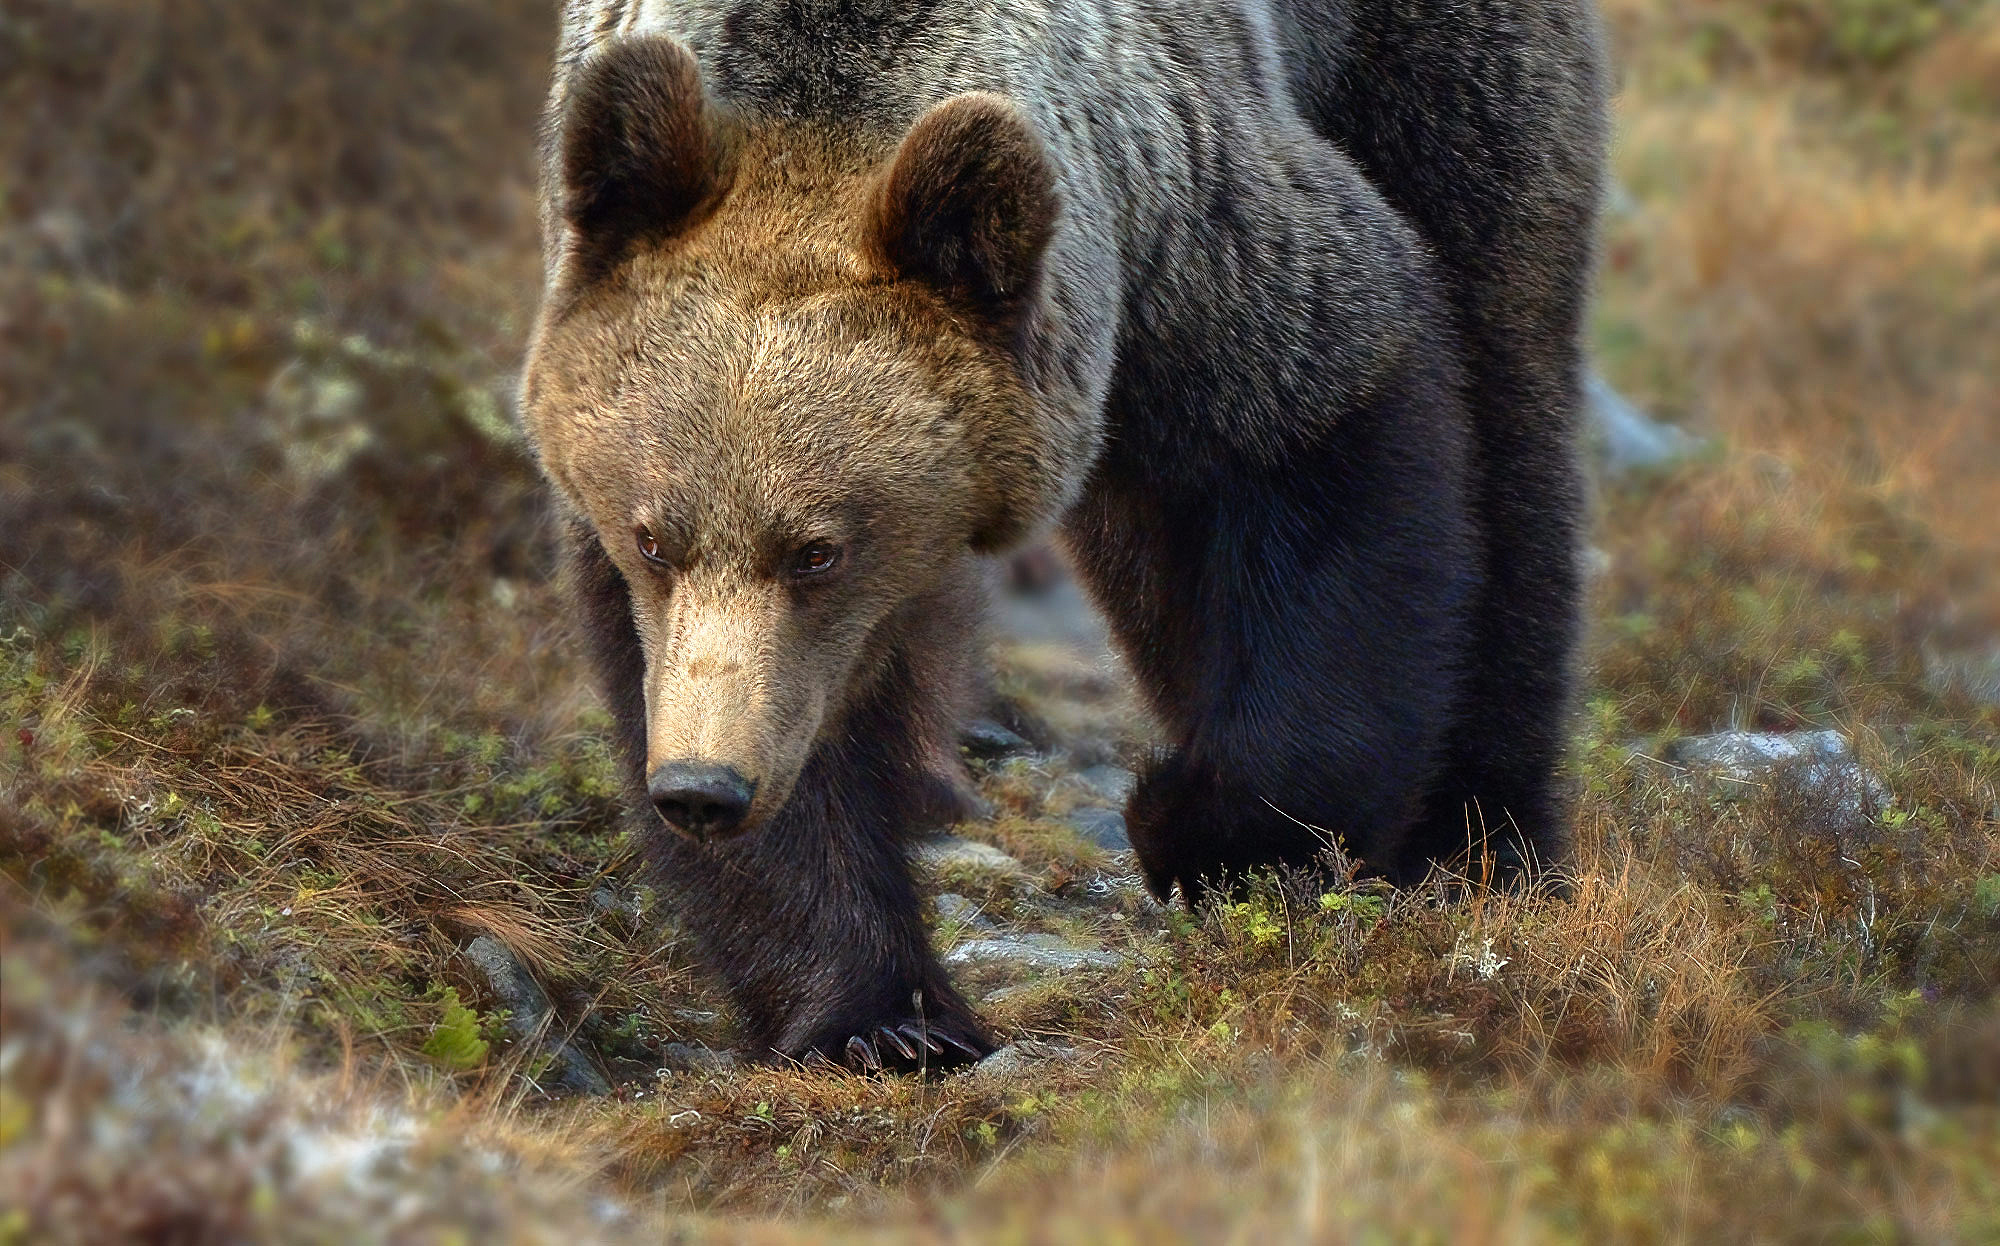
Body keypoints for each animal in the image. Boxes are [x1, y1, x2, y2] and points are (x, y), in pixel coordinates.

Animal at [520, 0, 1608, 1072]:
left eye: (818, 550)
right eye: (653, 539)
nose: (705, 786)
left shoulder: (1193, 234)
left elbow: (1340, 461)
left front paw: (1201, 829)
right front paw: (881, 1014)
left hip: (1441, 73)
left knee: (1505, 400)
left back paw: (1481, 848)